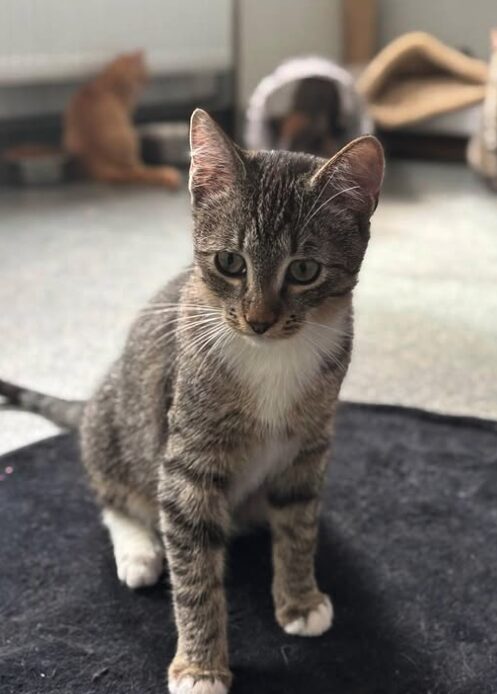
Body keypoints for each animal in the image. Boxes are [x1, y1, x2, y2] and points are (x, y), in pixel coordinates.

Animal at [0, 111, 384, 692]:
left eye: (303, 271)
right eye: (230, 262)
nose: (259, 320)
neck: (272, 357)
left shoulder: (310, 445)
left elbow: (299, 523)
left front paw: (299, 598)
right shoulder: (187, 458)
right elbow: (195, 567)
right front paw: (201, 666)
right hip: (115, 424)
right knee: (113, 493)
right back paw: (138, 549)